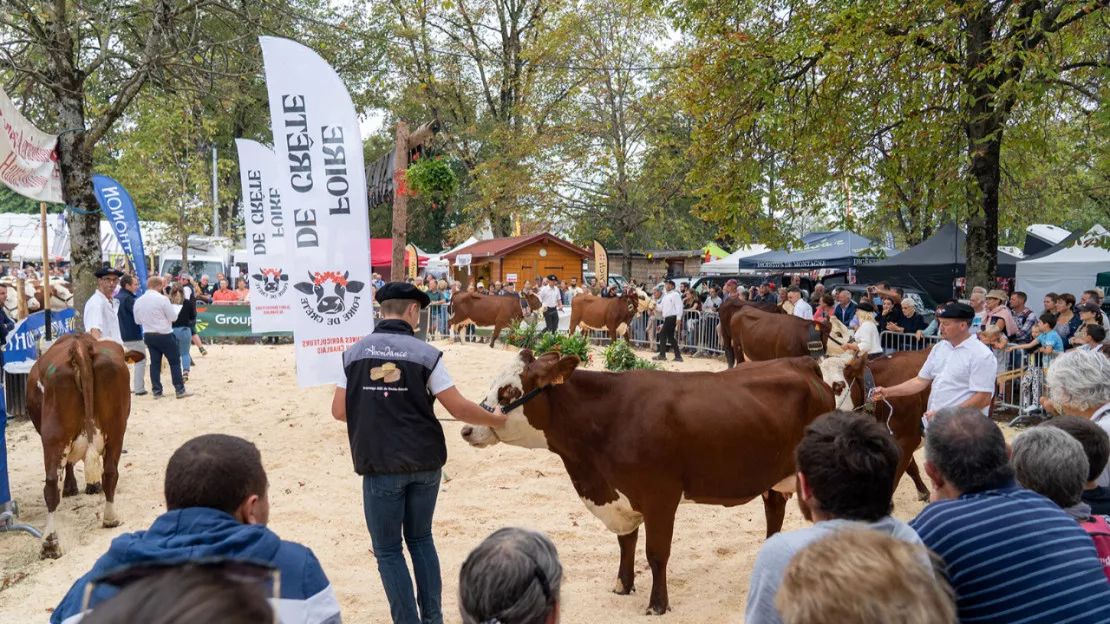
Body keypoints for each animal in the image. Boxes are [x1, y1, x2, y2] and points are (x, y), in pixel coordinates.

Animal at [457, 350, 834, 612]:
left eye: (508, 391)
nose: (466, 429)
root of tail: (802, 362)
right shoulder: (620, 495)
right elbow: (626, 543)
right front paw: (622, 586)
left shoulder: (660, 496)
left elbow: (656, 553)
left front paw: (657, 604)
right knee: (774, 513)